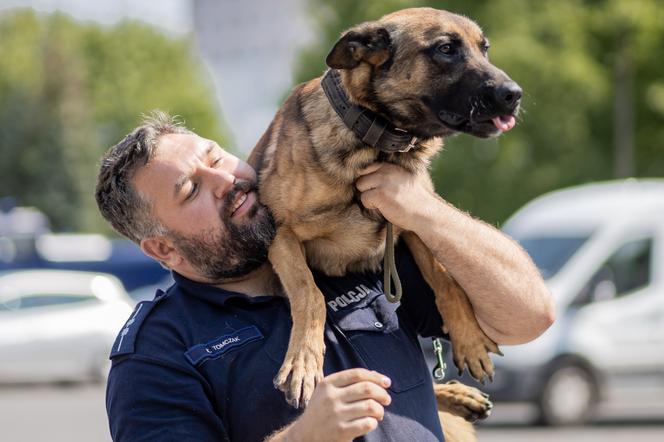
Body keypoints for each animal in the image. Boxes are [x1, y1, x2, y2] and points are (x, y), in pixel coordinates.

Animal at [248, 6, 520, 422]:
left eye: (484, 48)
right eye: (446, 49)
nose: (514, 94)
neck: (374, 141)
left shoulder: (416, 221)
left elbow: (446, 280)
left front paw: (469, 339)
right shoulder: (281, 233)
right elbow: (309, 294)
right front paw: (303, 362)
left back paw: (457, 395)